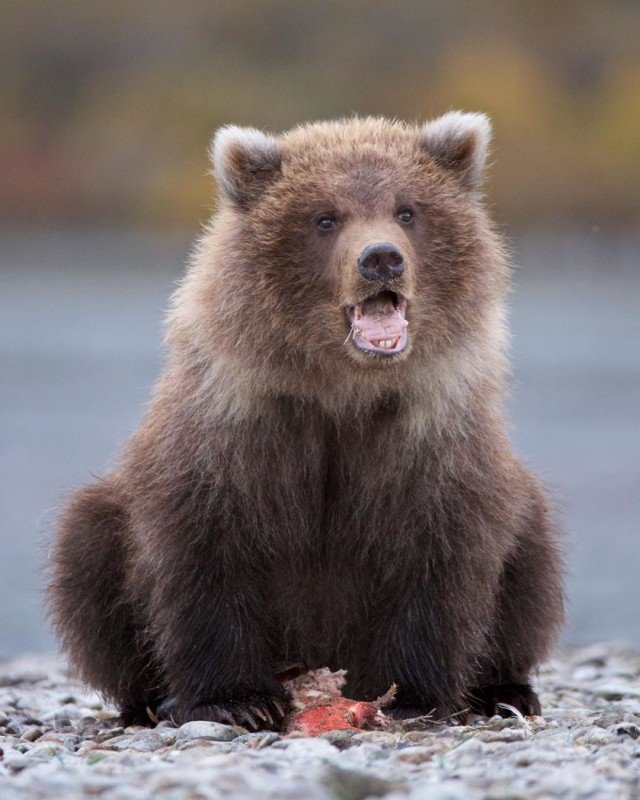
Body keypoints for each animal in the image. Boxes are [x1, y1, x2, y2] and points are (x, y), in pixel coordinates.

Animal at [47, 114, 564, 732]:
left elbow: (437, 557)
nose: (381, 258)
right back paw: (151, 700)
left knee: (531, 563)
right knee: (87, 550)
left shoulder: (429, 442)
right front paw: (239, 700)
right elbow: (204, 553)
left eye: (407, 210)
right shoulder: (234, 432)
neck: (341, 392)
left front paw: (410, 695)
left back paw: (503, 689)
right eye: (325, 217)